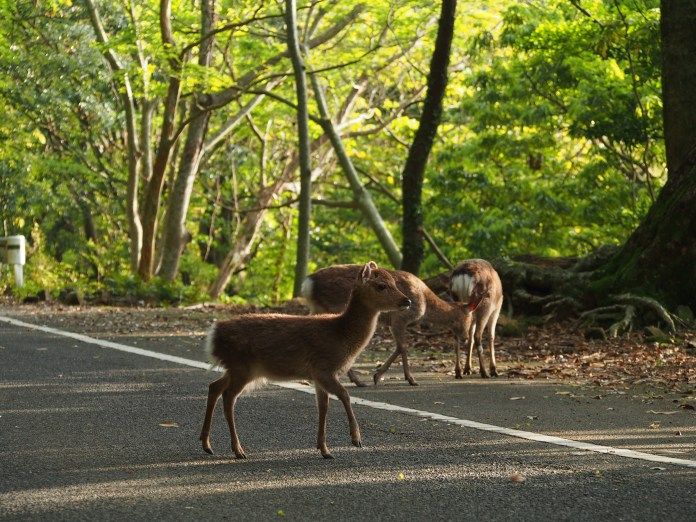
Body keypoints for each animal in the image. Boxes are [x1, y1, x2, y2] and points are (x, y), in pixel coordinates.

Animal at [200, 261, 411, 460]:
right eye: (381, 286)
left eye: (394, 282)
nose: (407, 300)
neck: (341, 335)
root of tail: (213, 336)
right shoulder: (324, 368)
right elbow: (344, 395)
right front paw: (356, 439)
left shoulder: (318, 377)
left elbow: (323, 407)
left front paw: (324, 449)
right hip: (243, 367)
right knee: (228, 396)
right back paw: (238, 450)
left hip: (237, 368)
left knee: (214, 386)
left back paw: (207, 444)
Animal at [302, 264, 479, 386]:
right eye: (469, 319)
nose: (465, 337)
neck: (425, 303)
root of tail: (307, 284)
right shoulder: (400, 318)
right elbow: (402, 347)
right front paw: (409, 379)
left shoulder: (392, 323)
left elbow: (399, 347)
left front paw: (379, 375)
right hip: (334, 308)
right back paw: (357, 380)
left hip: (318, 308)